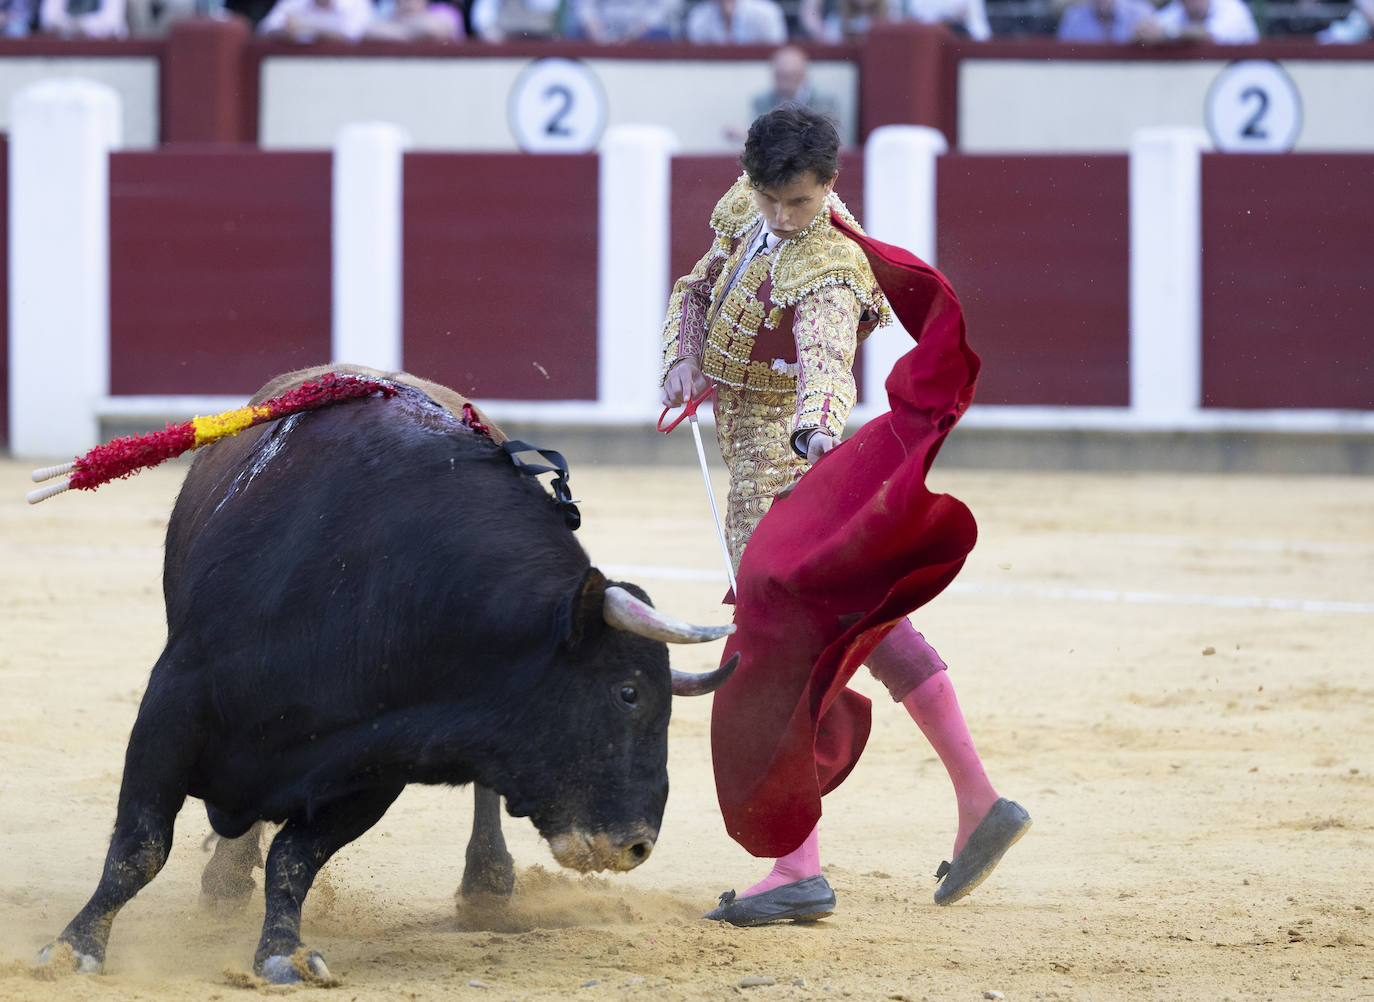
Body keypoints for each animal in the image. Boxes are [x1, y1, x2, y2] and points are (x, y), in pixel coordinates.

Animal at [37, 365, 736, 978]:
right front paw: (74, 948)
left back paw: (487, 886)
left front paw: (283, 953)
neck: (380, 585)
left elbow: (294, 859)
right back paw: (224, 883)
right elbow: (139, 847)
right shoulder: (172, 709)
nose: (636, 845)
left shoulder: (374, 764)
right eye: (628, 693)